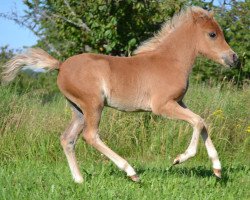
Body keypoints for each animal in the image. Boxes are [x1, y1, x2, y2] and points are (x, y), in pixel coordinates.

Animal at [1, 6, 237, 183]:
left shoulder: (179, 102)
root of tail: (61, 65)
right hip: (93, 105)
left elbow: (203, 122)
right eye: (212, 34)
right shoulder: (162, 106)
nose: (234, 58)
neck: (170, 61)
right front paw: (180, 158)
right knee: (90, 135)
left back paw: (79, 180)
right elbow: (197, 122)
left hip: (78, 109)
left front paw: (217, 169)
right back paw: (131, 172)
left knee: (68, 139)